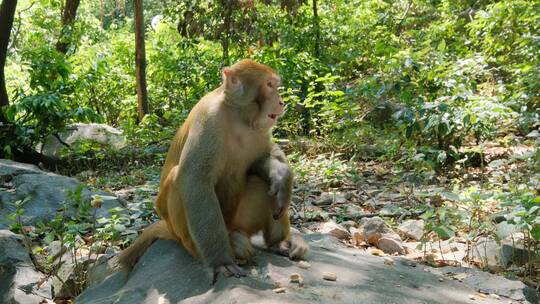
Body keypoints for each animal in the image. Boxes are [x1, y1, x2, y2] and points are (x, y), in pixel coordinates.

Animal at [121, 58, 308, 282]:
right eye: (270, 85)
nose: (281, 102)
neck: (238, 118)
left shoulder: (261, 129)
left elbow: (262, 158)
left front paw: (281, 176)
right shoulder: (209, 119)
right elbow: (196, 180)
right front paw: (220, 261)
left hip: (241, 220)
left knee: (262, 182)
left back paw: (279, 242)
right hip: (184, 232)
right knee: (179, 178)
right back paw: (224, 247)